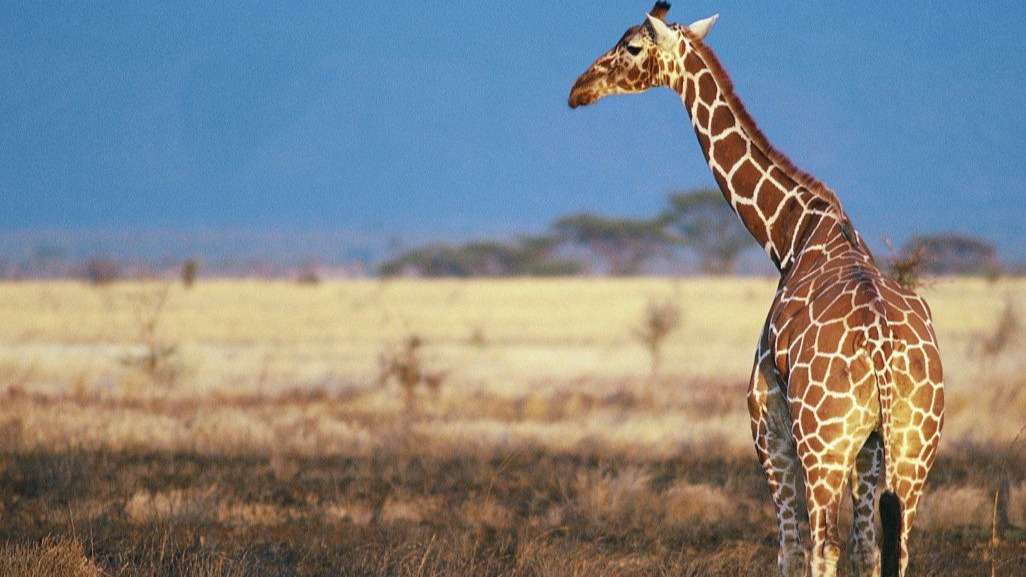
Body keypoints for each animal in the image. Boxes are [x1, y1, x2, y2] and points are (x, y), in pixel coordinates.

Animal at [569, 4, 944, 577]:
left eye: (631, 46)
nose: (578, 89)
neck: (793, 234)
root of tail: (882, 352)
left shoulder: (767, 423)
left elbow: (789, 548)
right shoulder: (870, 447)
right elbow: (866, 548)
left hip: (824, 443)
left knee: (820, 546)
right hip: (912, 444)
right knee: (892, 547)